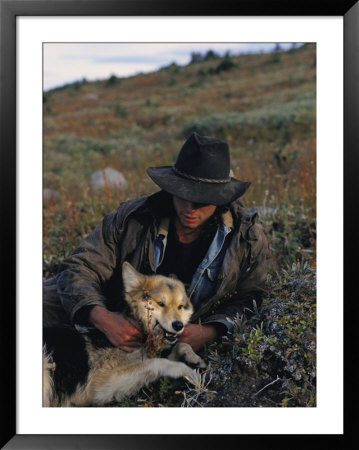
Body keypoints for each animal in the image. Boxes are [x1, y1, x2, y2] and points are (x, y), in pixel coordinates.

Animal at [42, 262, 207, 406]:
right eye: (161, 303)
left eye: (180, 307)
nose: (178, 325)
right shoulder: (102, 384)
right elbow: (158, 362)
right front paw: (188, 371)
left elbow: (180, 346)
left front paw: (194, 359)